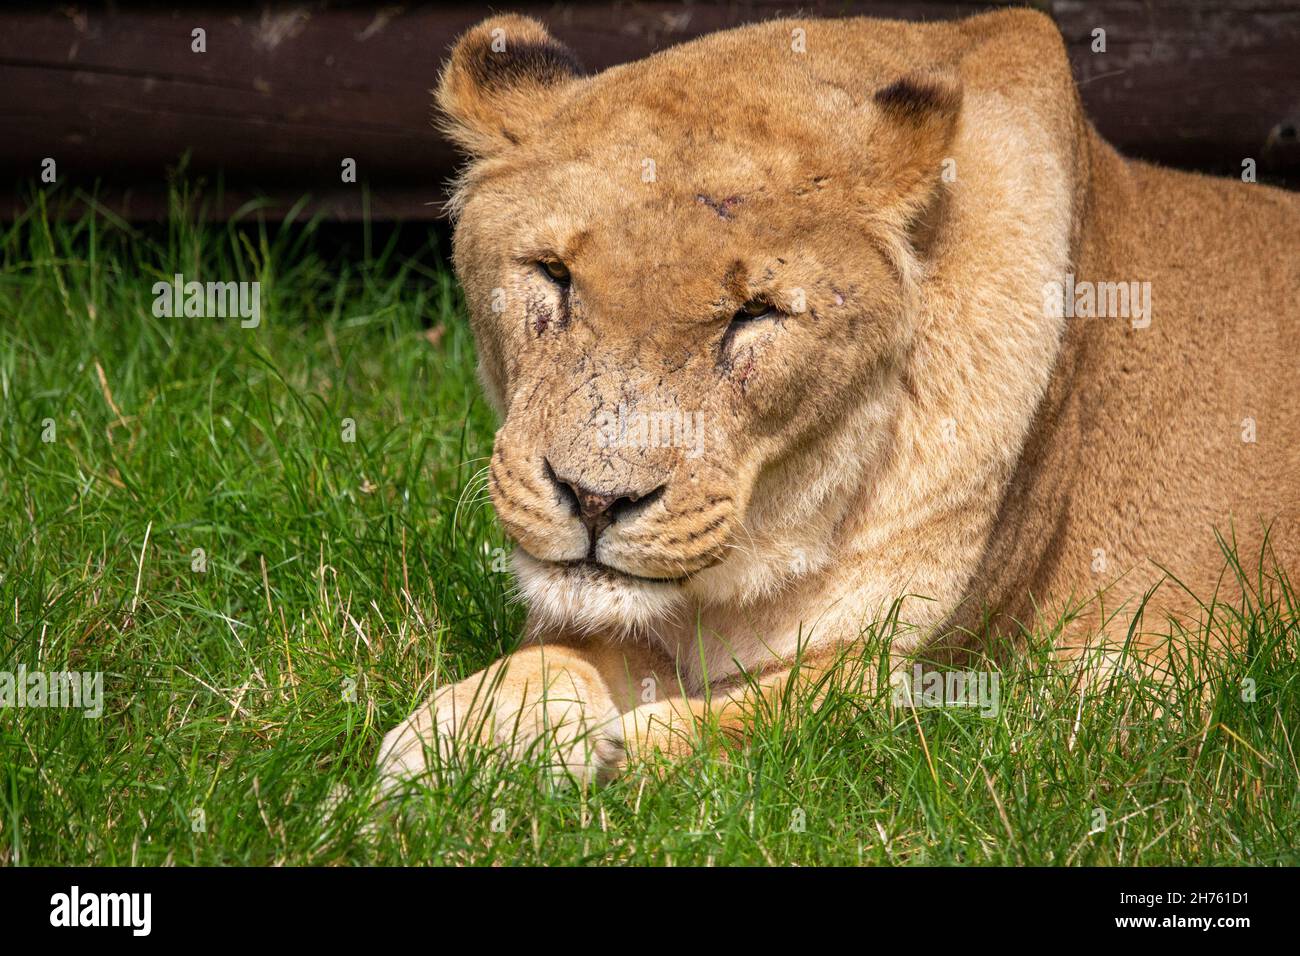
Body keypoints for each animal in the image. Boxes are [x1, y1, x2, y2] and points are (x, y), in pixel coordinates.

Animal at [371, 9, 1294, 790]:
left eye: (755, 314)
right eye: (553, 275)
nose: (595, 500)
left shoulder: (934, 681)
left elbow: (778, 717)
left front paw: (611, 757)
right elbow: (561, 654)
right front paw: (469, 738)